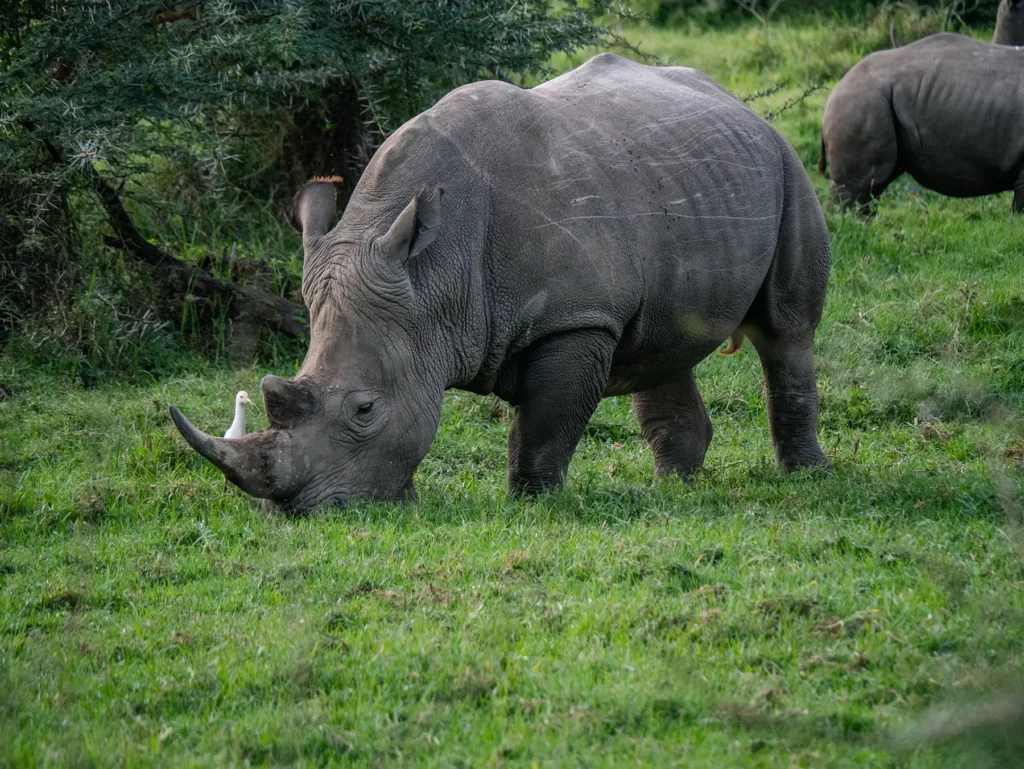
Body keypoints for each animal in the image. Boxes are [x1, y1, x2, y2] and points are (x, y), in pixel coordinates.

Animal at [170, 53, 831, 513]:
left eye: (364, 409)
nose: (297, 513)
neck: (433, 277)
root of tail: (734, 99)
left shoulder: (577, 319)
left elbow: (544, 424)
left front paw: (532, 503)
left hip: (785, 162)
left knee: (786, 331)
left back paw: (805, 476)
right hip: (681, 175)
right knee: (662, 343)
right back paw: (676, 484)